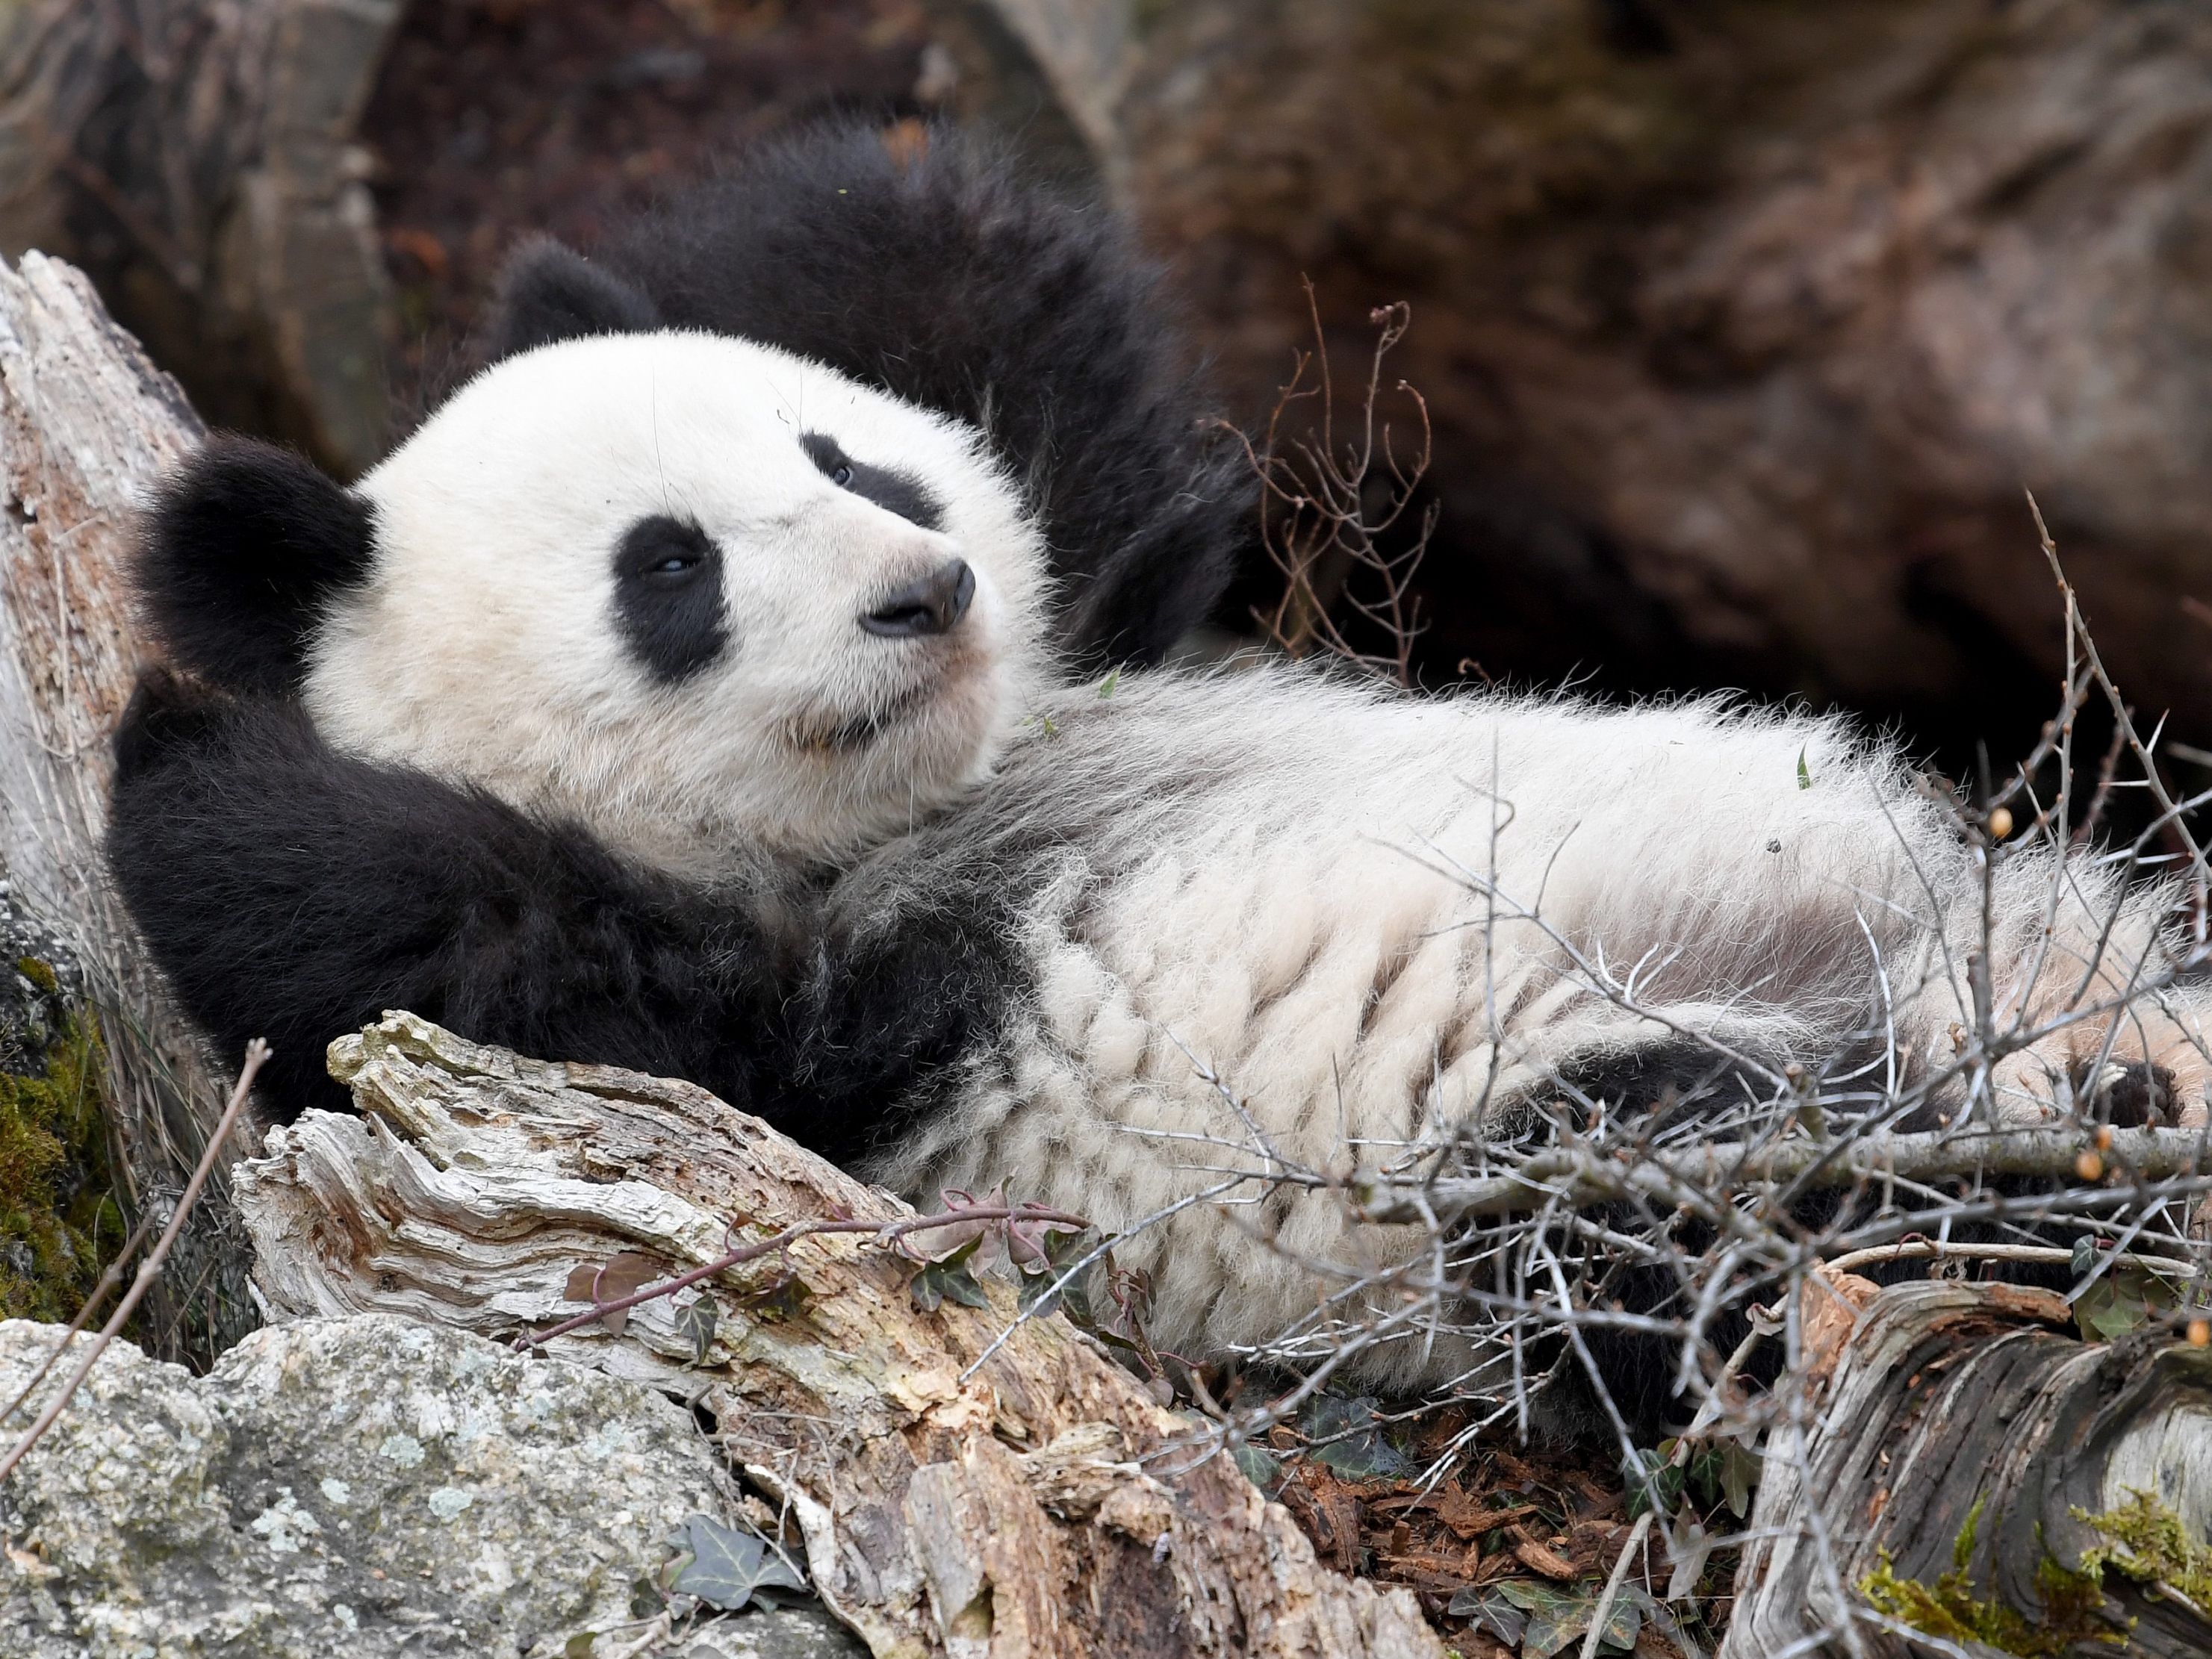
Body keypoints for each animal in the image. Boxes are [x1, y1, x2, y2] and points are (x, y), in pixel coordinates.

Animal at [116, 123, 2212, 1433]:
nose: (923, 596)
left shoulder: (1107, 634)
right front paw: (187, 753)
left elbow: (1007, 369)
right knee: (1676, 1209)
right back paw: (2037, 1152)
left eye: (846, 463)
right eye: (671, 571)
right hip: (1557, 1128)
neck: (943, 804)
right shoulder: (839, 1050)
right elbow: (535, 988)